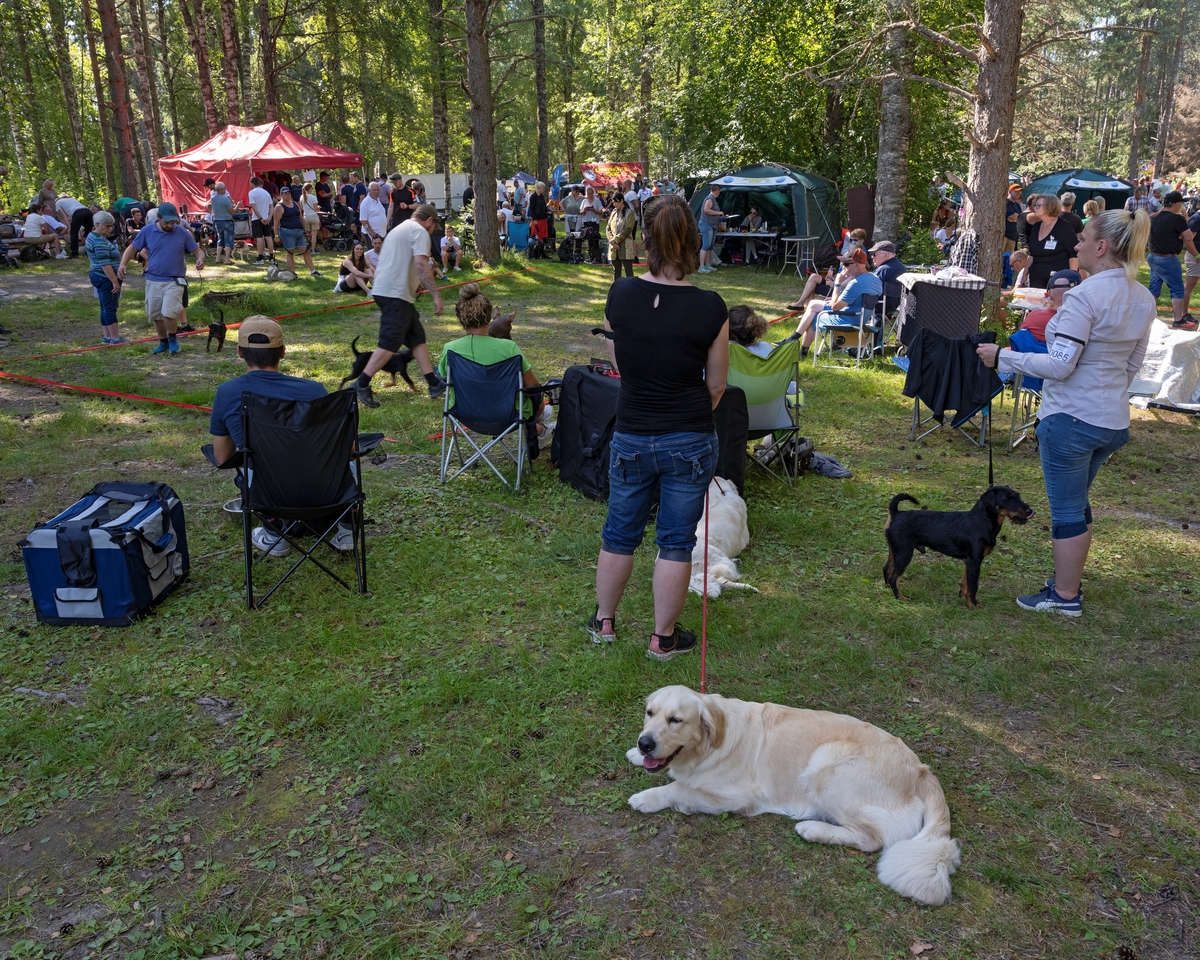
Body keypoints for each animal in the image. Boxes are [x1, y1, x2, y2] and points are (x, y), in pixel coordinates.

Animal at [628, 686, 955, 902]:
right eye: (649, 713)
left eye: (676, 720)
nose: (645, 743)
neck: (710, 742)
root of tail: (921, 770)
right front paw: (634, 754)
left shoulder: (736, 796)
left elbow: (680, 787)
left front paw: (647, 797)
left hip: (826, 763)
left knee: (872, 839)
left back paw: (813, 829)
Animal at [878, 487, 1036, 607]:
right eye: (1008, 498)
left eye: (1018, 496)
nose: (1029, 511)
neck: (982, 520)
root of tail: (896, 513)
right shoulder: (974, 561)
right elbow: (973, 585)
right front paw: (973, 605)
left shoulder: (970, 561)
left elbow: (965, 581)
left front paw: (964, 597)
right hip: (904, 553)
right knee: (894, 577)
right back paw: (900, 598)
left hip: (895, 551)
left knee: (886, 569)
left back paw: (888, 590)